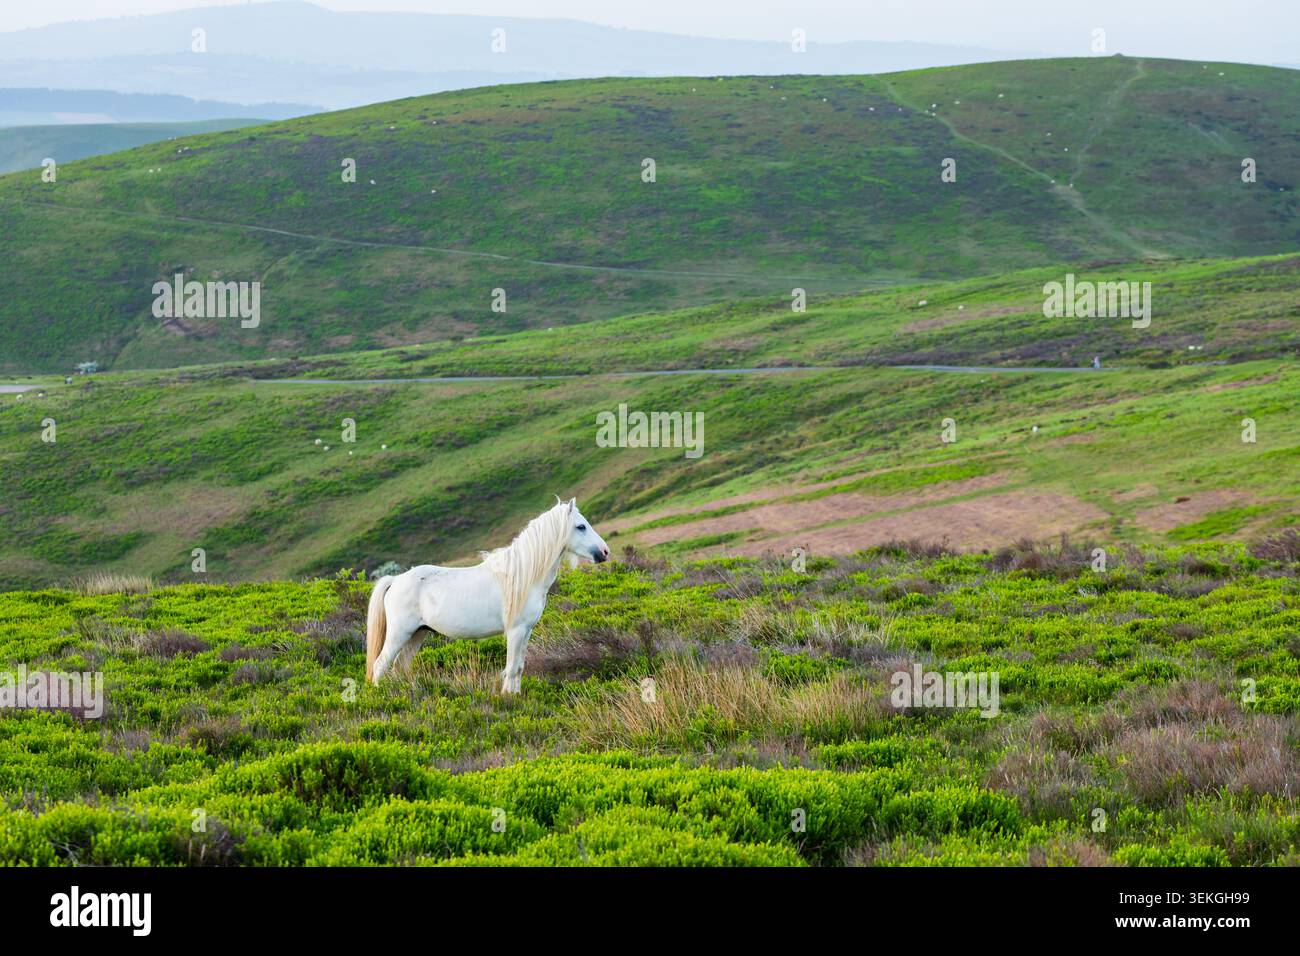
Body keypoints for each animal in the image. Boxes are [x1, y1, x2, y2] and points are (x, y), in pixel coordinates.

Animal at [365, 497, 610, 694]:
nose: (605, 552)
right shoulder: (515, 631)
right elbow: (511, 668)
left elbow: (520, 667)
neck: (522, 576)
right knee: (380, 665)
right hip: (399, 634)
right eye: (581, 526)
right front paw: (507, 698)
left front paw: (516, 696)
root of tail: (396, 580)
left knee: (400, 666)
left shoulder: (527, 631)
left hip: (418, 633)